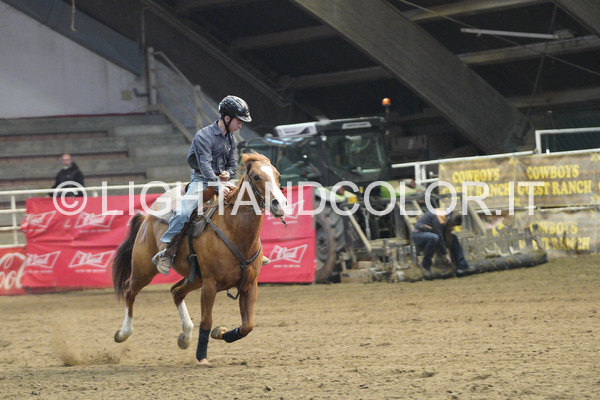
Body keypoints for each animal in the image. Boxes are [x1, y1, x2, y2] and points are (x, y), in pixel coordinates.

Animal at [111, 153, 287, 366]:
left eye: (277, 175)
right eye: (256, 177)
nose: (280, 204)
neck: (234, 231)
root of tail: (146, 218)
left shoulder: (249, 285)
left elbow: (247, 325)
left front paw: (221, 333)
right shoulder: (210, 285)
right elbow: (206, 321)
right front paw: (202, 355)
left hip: (194, 278)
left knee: (176, 292)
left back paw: (185, 336)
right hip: (144, 269)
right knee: (130, 290)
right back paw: (123, 333)